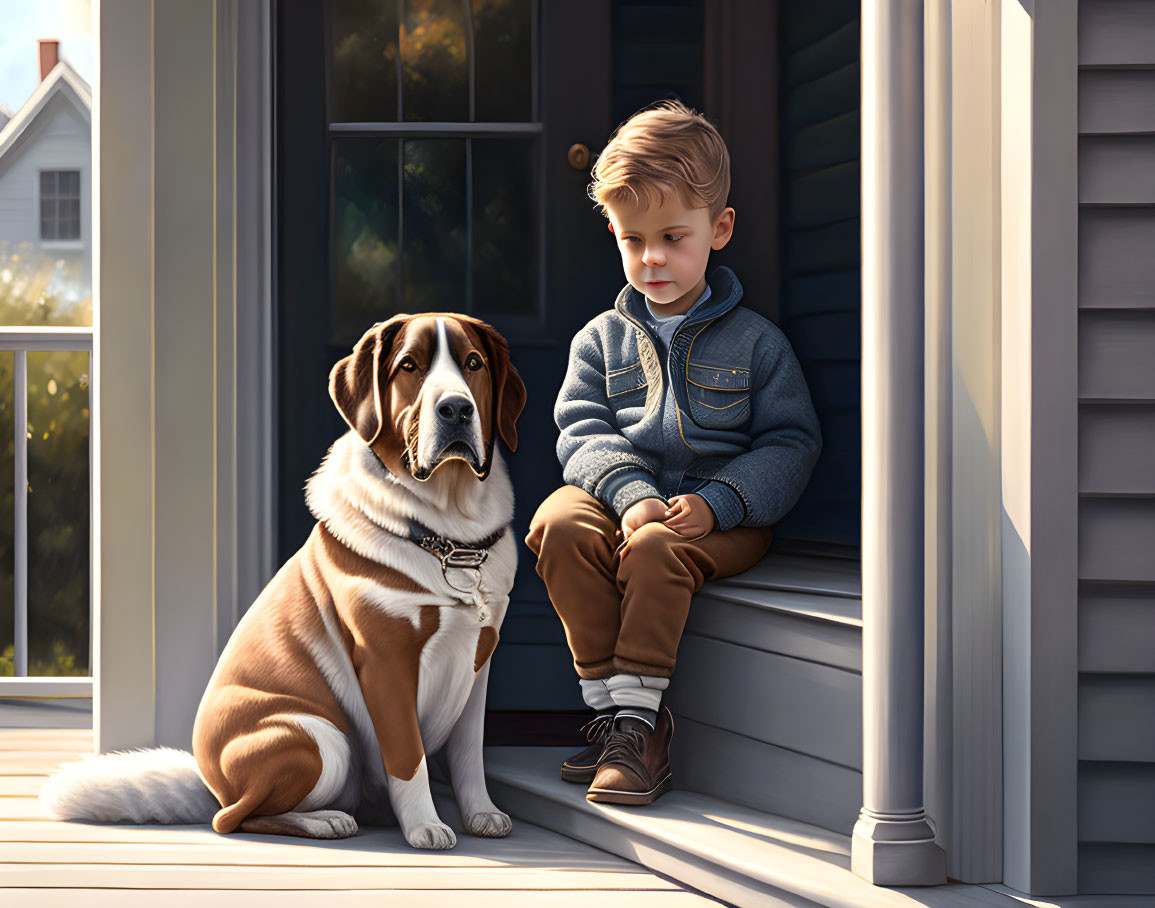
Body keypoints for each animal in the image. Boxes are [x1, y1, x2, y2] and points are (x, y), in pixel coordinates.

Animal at [40, 314, 528, 850]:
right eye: (409, 366)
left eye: (473, 363)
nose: (456, 408)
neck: (447, 533)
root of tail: (210, 782)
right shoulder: (386, 663)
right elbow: (408, 758)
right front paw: (425, 826)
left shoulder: (478, 661)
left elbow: (468, 757)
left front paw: (482, 814)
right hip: (322, 739)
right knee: (235, 818)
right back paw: (325, 820)